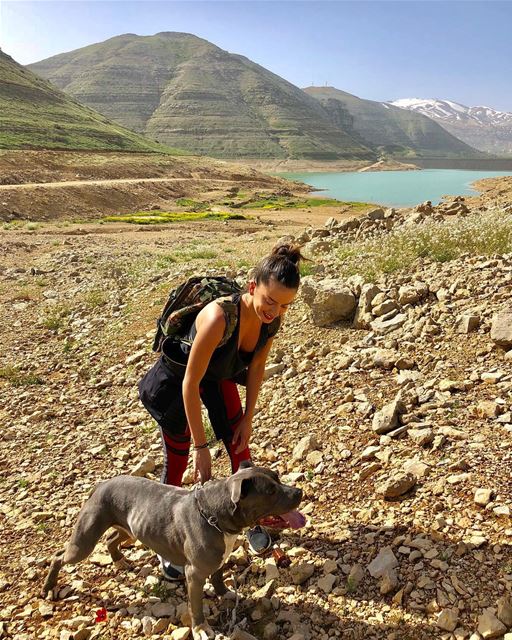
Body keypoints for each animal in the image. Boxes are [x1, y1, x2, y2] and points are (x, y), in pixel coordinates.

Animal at [43, 462, 304, 636]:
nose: (299, 492)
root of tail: (102, 484)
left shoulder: (218, 559)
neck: (214, 515)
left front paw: (224, 593)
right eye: (270, 491)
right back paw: (48, 588)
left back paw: (119, 560)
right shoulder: (195, 574)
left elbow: (219, 577)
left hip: (128, 527)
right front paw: (201, 628)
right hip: (83, 543)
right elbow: (196, 606)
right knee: (59, 556)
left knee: (111, 539)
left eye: (278, 477)